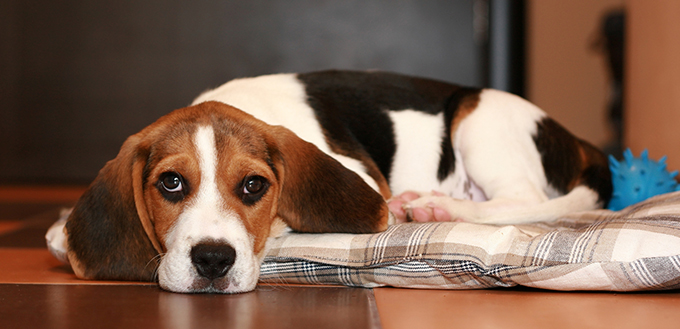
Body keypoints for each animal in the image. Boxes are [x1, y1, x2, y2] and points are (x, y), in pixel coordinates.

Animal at [57, 69, 612, 292]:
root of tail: (581, 141)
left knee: (522, 197)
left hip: (479, 116)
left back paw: (433, 206)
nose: (213, 261)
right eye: (170, 183)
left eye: (254, 187)